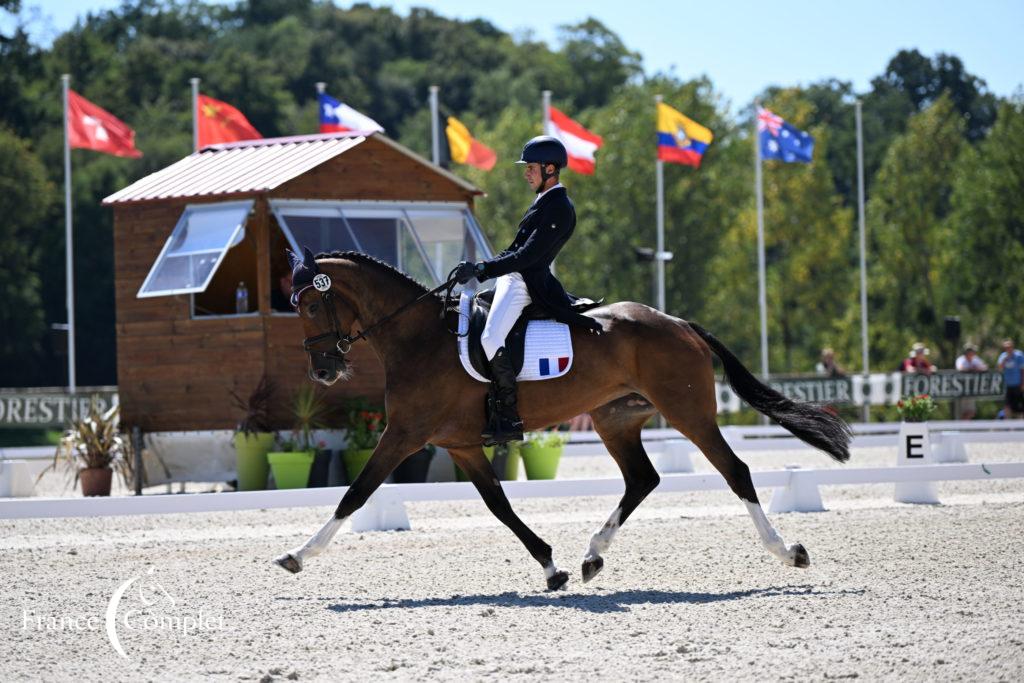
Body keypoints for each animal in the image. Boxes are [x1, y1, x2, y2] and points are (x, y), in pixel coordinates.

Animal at [274, 248, 856, 589]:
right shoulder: (460, 444)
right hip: (614, 419)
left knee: (735, 471)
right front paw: (552, 568)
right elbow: (500, 506)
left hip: (688, 411)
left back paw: (789, 552)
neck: (420, 338)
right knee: (642, 478)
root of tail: (679, 322)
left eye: (309, 306)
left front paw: (298, 554)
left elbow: (356, 493)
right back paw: (593, 556)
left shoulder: (405, 434)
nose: (324, 370)